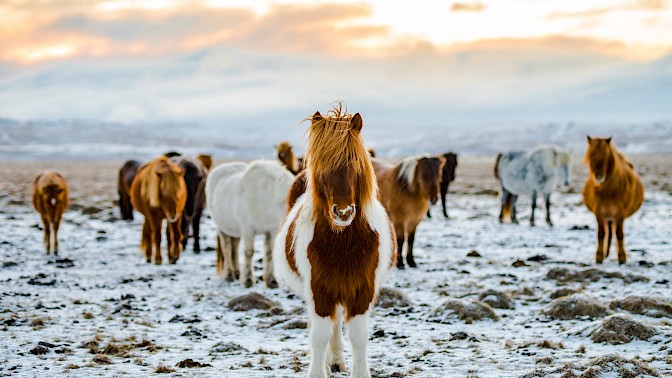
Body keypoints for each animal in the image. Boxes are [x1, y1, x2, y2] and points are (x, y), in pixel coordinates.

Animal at [274, 107, 396, 378]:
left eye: (355, 162)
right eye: (321, 165)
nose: (343, 212)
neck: (343, 244)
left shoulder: (362, 290)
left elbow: (358, 336)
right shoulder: (319, 290)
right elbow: (319, 336)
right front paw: (318, 371)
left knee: (337, 323)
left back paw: (337, 361)